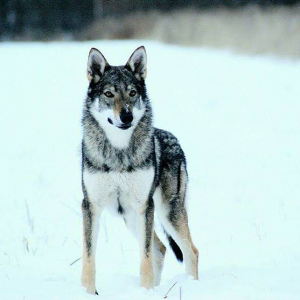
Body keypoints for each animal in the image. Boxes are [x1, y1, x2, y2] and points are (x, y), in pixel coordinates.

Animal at [79, 45, 199, 294]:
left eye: (132, 93)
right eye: (109, 94)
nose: (127, 116)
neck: (118, 151)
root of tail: (174, 139)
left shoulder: (145, 206)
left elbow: (144, 260)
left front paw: (145, 290)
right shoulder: (90, 206)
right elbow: (88, 259)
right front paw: (88, 293)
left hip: (165, 213)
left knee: (191, 252)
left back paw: (192, 287)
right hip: (132, 217)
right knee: (161, 249)